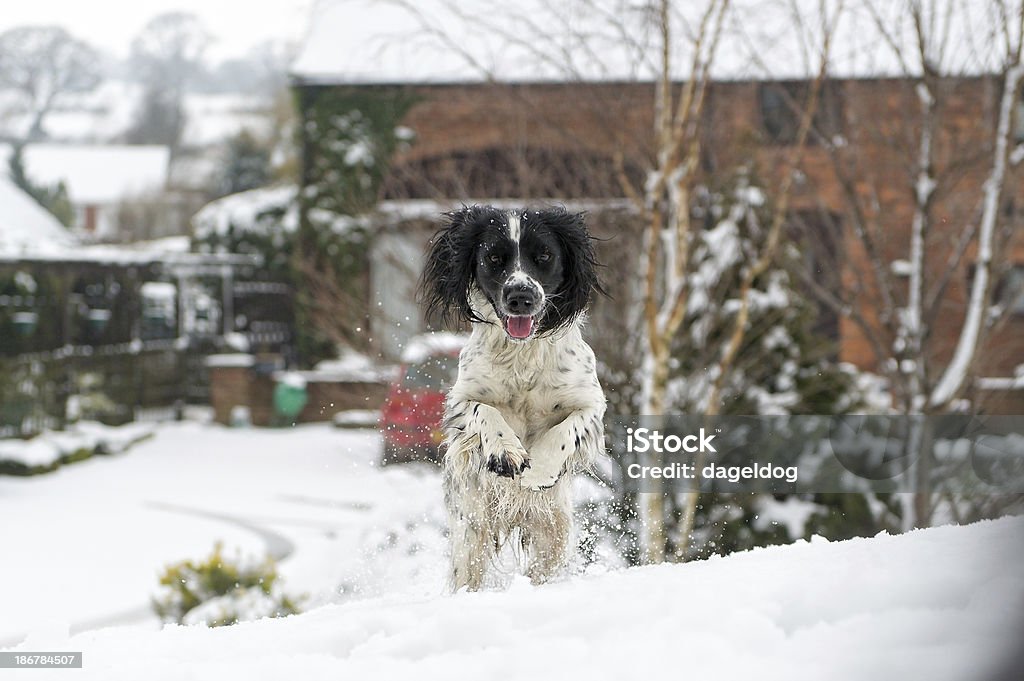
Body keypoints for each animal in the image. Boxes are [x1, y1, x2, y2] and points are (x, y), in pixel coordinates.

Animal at [417, 202, 602, 589]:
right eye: (493, 258)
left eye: (544, 255)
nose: (520, 297)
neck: (523, 352)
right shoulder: (461, 400)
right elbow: (484, 412)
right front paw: (506, 452)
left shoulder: (592, 404)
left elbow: (566, 430)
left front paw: (538, 471)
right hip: (470, 528)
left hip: (554, 531)